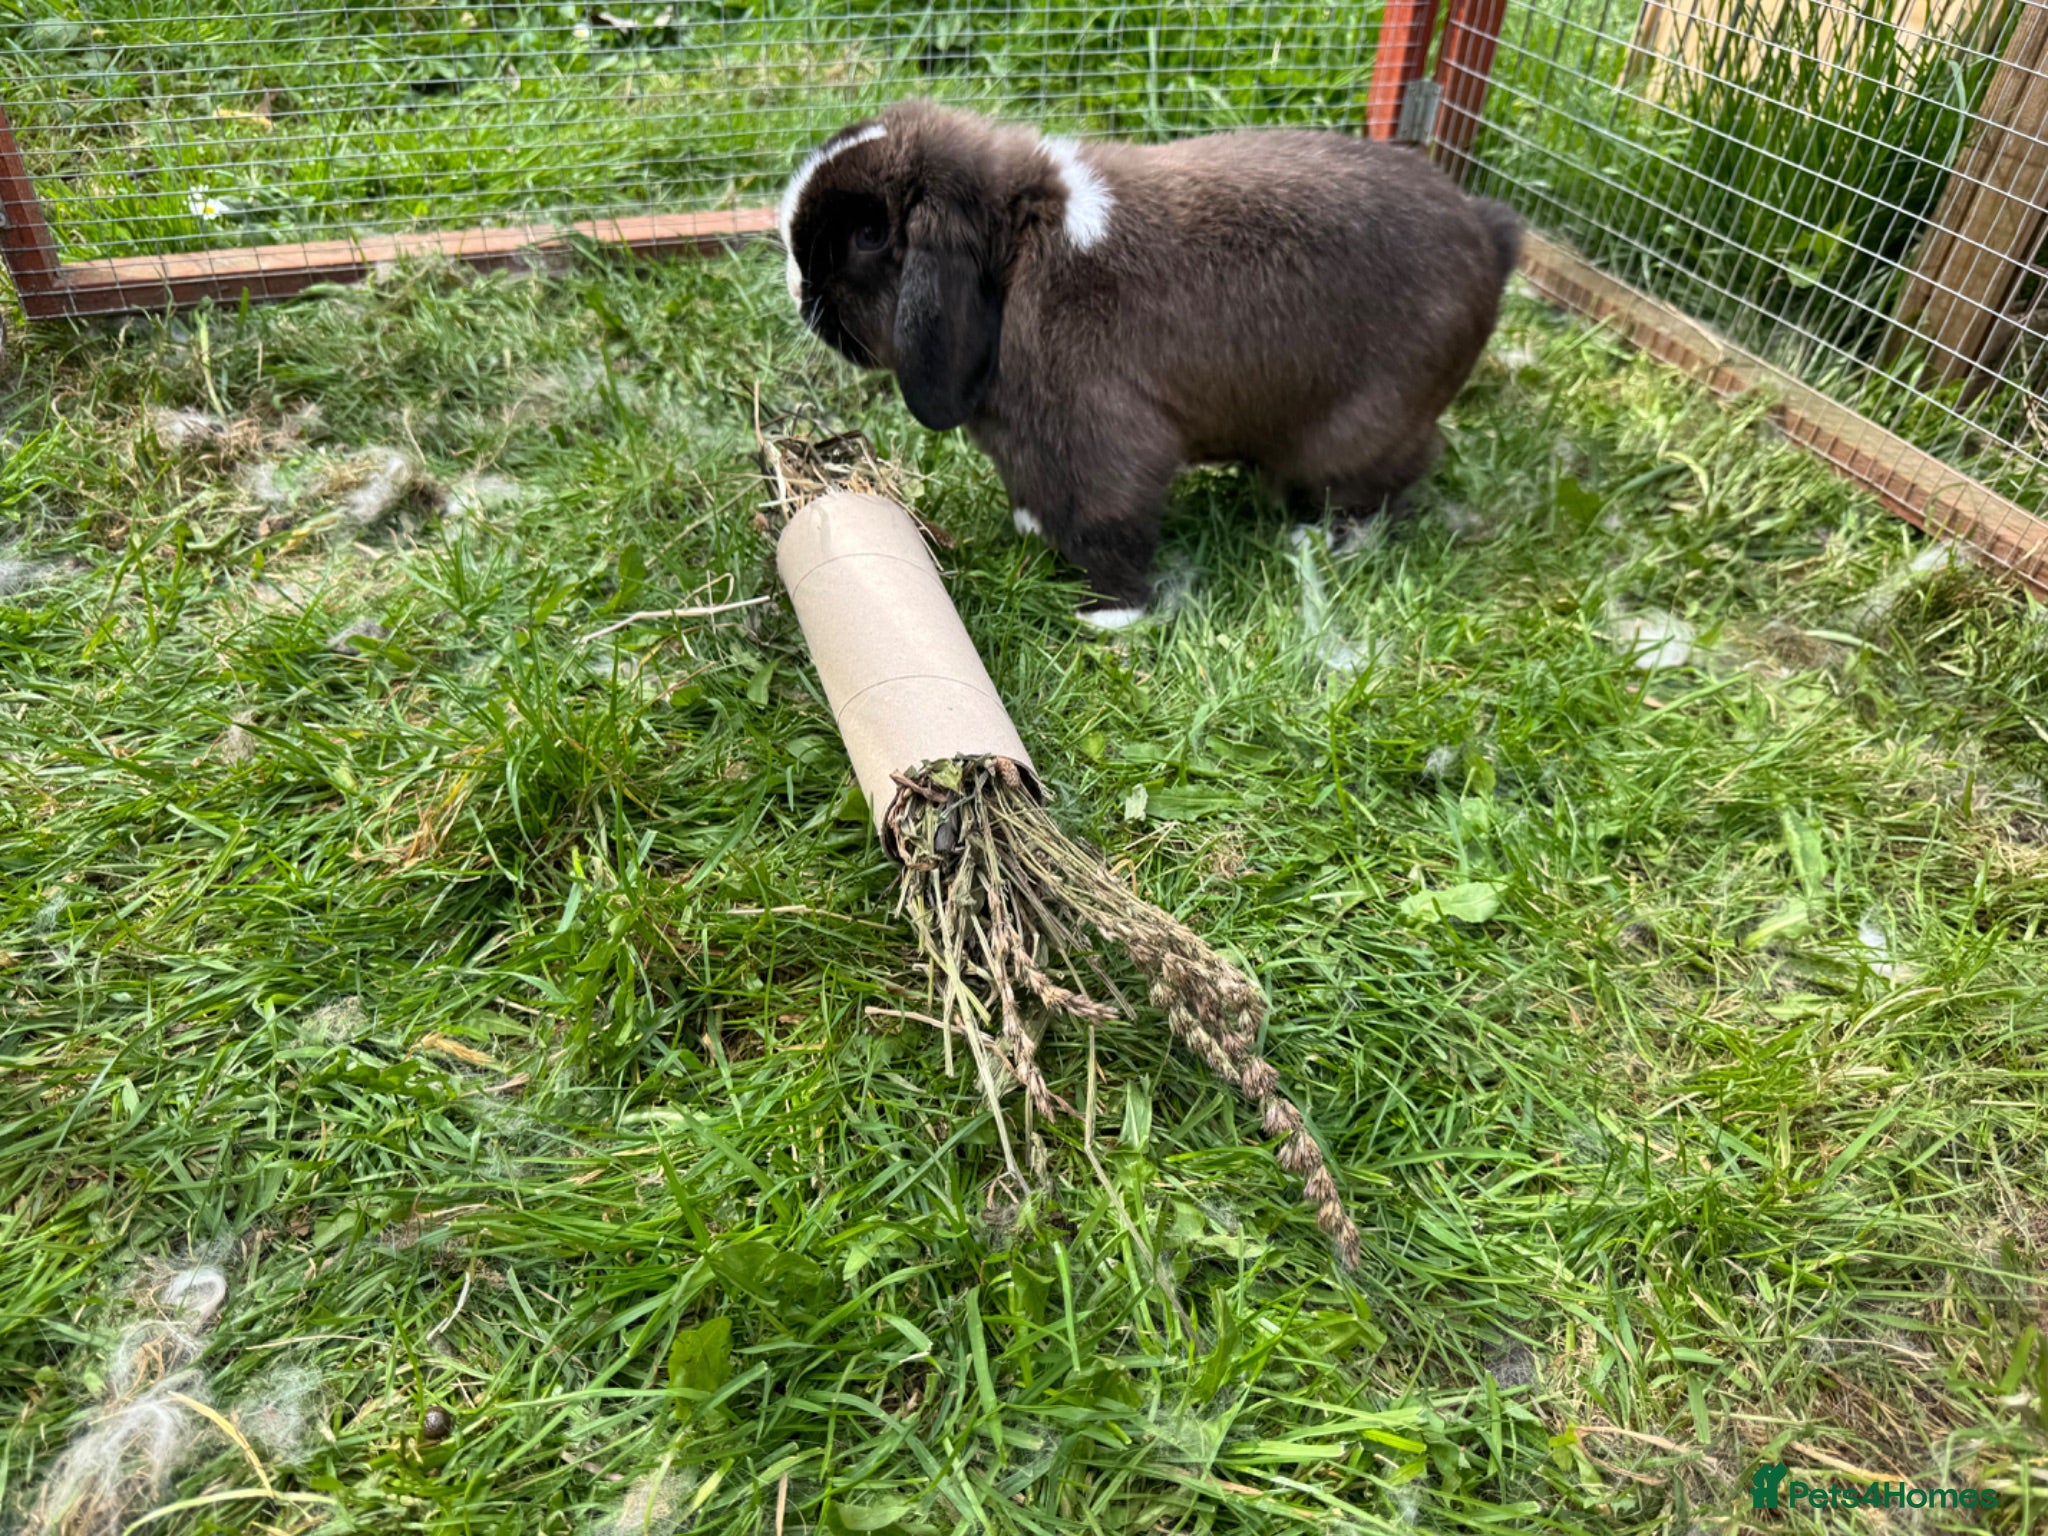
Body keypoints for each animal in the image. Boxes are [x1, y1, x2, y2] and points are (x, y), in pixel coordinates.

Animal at [780, 100, 1521, 625]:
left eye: (869, 235)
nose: (796, 286)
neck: (1014, 256)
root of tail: (1489, 237)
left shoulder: (1107, 442)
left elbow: (1111, 525)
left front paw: (1107, 616)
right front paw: (1030, 530)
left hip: (1357, 434)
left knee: (1393, 477)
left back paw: (1332, 539)